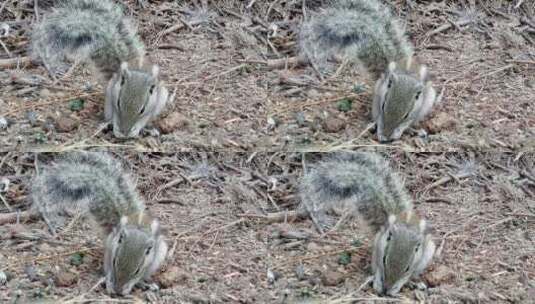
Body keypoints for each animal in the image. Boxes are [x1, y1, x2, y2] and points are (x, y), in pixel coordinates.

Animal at [29, 0, 172, 138]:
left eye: (142, 110)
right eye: (118, 103)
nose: (124, 131)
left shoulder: (153, 106)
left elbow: (143, 120)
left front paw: (136, 130)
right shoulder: (113, 97)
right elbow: (114, 116)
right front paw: (116, 128)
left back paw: (148, 130)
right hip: (108, 96)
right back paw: (106, 125)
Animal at [30, 153, 168, 296]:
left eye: (137, 270)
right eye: (114, 262)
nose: (118, 289)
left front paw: (131, 285)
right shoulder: (110, 253)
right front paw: (109, 284)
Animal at [300, 0, 442, 142]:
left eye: (406, 115)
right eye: (383, 105)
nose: (386, 135)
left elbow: (407, 123)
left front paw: (398, 131)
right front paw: (379, 130)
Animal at [300, 153, 438, 296]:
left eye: (407, 268)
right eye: (384, 260)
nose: (387, 288)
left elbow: (406, 276)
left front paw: (397, 286)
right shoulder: (378, 250)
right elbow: (378, 268)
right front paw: (377, 281)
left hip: (427, 255)